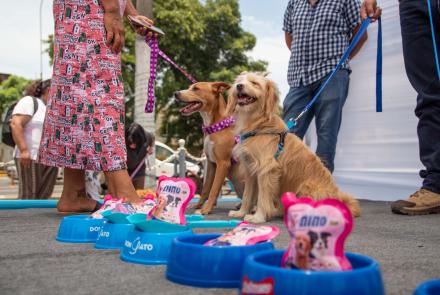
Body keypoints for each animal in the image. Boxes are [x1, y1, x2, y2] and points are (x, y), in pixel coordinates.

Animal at [174, 82, 244, 215]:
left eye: (196, 88)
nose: (176, 93)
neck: (214, 126)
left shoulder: (223, 164)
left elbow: (214, 189)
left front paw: (206, 209)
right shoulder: (211, 163)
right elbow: (206, 188)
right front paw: (199, 205)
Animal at [227, 73, 360, 223]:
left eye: (254, 83)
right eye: (239, 81)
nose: (239, 86)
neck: (259, 124)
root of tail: (340, 198)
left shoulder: (267, 169)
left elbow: (263, 196)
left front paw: (258, 217)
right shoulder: (250, 170)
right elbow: (247, 195)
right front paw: (241, 212)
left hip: (306, 187)